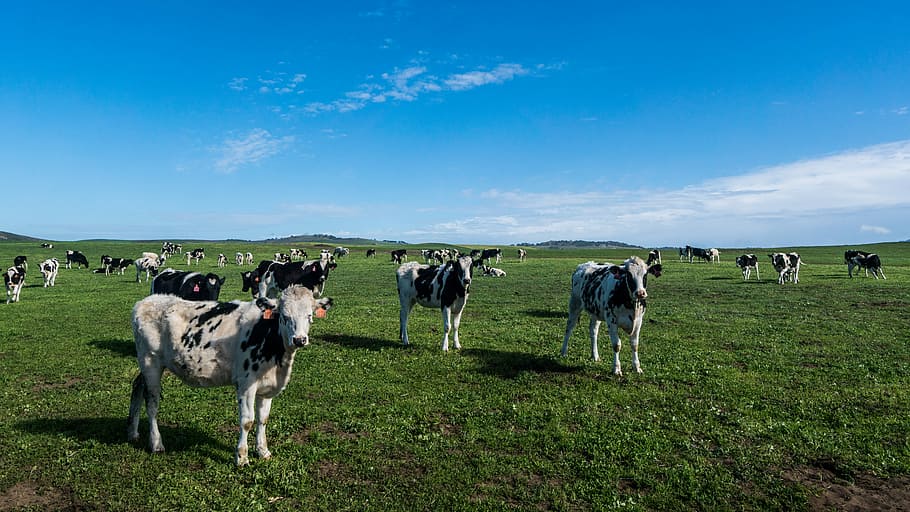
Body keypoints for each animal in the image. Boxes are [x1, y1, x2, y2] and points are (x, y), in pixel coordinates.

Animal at [128, 285, 333, 466]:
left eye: (310, 315)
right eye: (284, 315)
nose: (299, 339)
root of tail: (147, 301)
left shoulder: (268, 387)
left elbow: (263, 419)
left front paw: (263, 451)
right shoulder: (246, 384)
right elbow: (247, 421)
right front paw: (242, 457)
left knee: (137, 387)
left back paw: (133, 432)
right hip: (150, 362)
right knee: (152, 403)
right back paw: (156, 443)